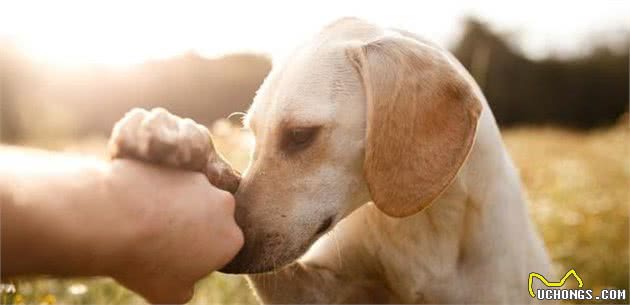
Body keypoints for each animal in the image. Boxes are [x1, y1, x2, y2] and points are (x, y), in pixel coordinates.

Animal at [110, 17, 552, 302]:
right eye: (253, 134)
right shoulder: (313, 289)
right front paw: (178, 138)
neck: (424, 229)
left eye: (300, 135)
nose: (231, 256)